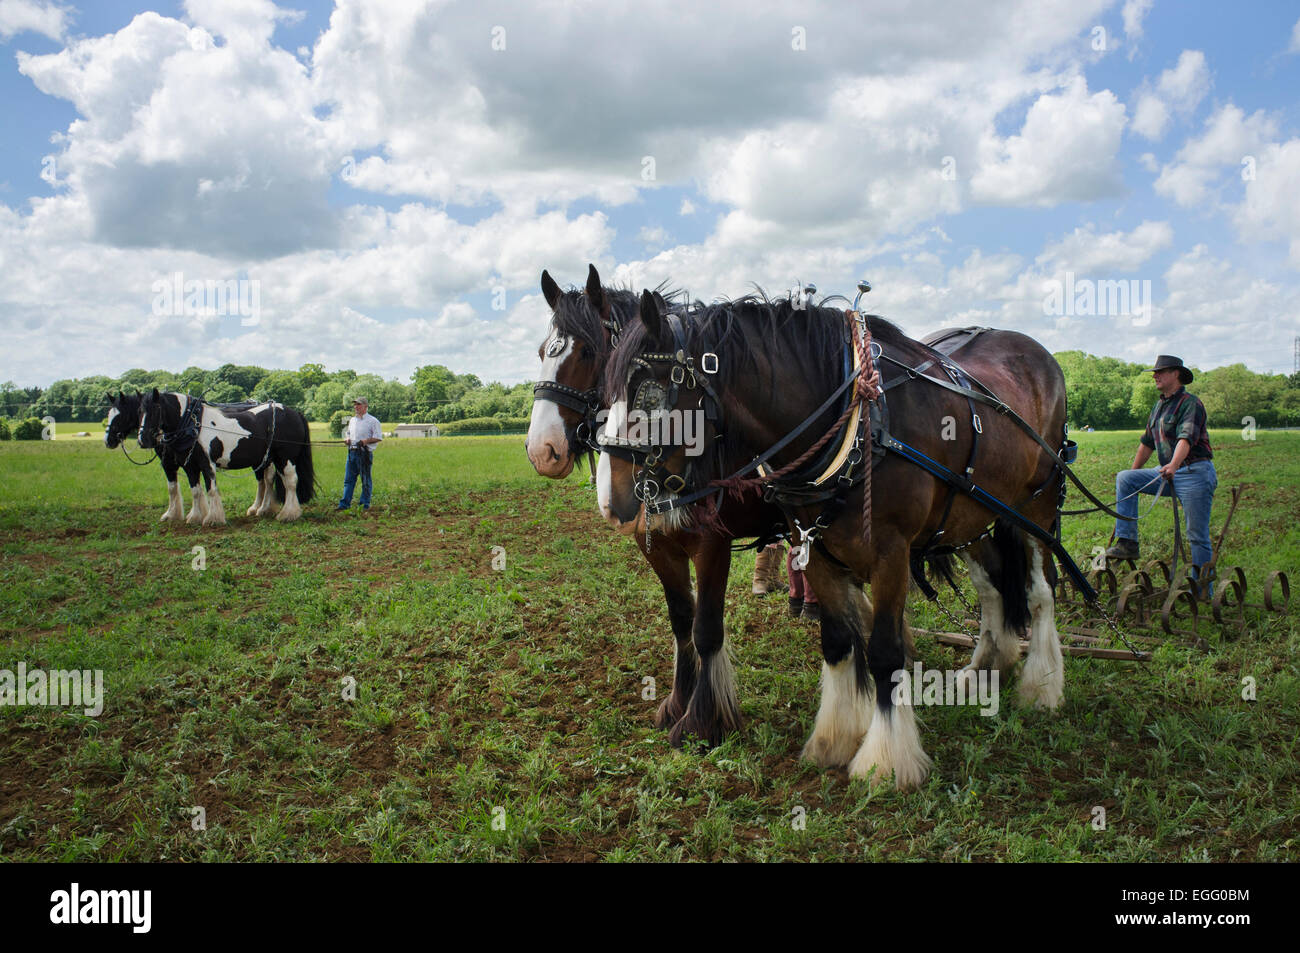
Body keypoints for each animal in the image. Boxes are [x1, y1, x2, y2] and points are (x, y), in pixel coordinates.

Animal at [105, 390, 218, 526]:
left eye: (121, 416)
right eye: (109, 414)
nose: (108, 441)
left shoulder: (174, 463)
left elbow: (183, 488)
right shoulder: (178, 463)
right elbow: (175, 488)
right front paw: (174, 514)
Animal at [138, 390, 316, 524]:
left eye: (156, 410)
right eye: (140, 411)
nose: (142, 440)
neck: (194, 424)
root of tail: (294, 413)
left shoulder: (207, 464)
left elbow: (211, 489)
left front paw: (213, 518)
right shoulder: (190, 466)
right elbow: (195, 490)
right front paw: (195, 517)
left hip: (286, 457)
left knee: (290, 482)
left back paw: (288, 514)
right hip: (272, 459)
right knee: (271, 481)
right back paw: (265, 509)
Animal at [526, 265, 794, 745]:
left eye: (589, 352)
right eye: (543, 352)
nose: (543, 450)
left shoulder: (712, 544)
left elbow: (706, 629)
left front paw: (704, 720)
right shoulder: (656, 544)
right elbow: (681, 620)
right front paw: (677, 703)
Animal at [602, 289, 1074, 790]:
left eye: (648, 392)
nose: (613, 502)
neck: (857, 422)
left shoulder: (890, 552)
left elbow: (884, 652)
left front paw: (886, 760)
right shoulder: (814, 548)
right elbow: (837, 642)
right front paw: (835, 739)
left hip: (1038, 506)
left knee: (1041, 591)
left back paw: (1042, 685)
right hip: (971, 517)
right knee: (992, 588)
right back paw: (986, 665)